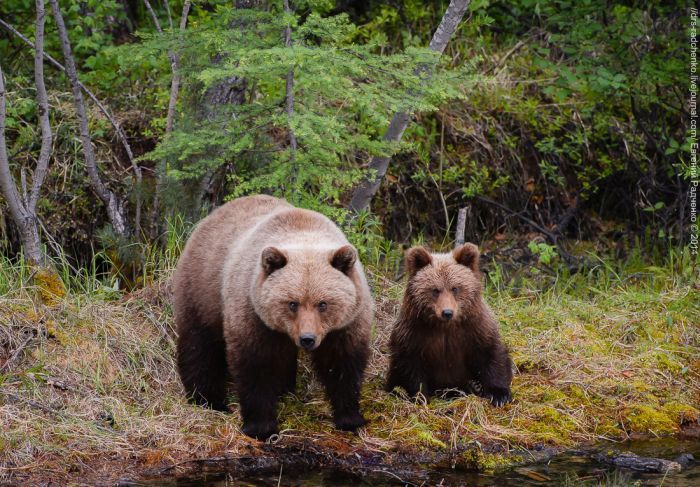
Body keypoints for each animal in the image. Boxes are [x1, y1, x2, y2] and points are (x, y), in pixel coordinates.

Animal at [174, 196, 372, 440]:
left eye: (323, 304)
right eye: (292, 303)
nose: (307, 339)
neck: (305, 232)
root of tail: (214, 214)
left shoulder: (346, 323)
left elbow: (342, 363)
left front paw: (351, 418)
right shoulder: (253, 313)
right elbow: (256, 366)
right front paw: (261, 427)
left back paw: (283, 389)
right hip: (203, 289)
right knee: (200, 345)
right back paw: (208, 400)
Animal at [386, 244, 512, 408]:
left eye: (455, 288)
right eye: (435, 290)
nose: (447, 312)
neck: (445, 327)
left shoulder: (475, 328)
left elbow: (491, 354)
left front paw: (499, 395)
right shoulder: (413, 332)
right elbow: (408, 365)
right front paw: (419, 396)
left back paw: (475, 385)